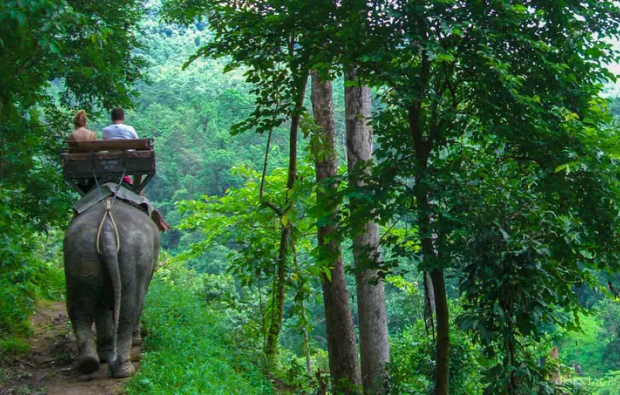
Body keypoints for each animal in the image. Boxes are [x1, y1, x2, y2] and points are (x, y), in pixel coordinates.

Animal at [62, 200, 159, 378]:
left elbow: (101, 307)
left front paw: (104, 354)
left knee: (79, 306)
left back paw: (89, 363)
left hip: (80, 253)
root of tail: (107, 230)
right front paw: (136, 340)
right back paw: (124, 370)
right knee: (130, 306)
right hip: (134, 255)